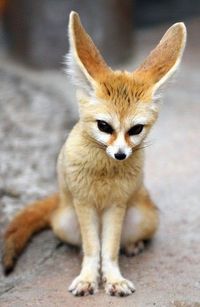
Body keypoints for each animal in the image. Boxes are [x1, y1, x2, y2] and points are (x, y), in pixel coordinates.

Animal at [1, 10, 186, 298]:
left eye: (136, 129)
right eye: (104, 126)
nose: (121, 154)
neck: (103, 173)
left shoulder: (116, 205)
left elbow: (108, 250)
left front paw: (114, 279)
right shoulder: (84, 203)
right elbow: (93, 248)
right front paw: (88, 278)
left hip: (143, 218)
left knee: (123, 240)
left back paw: (133, 245)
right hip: (66, 222)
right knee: (85, 243)